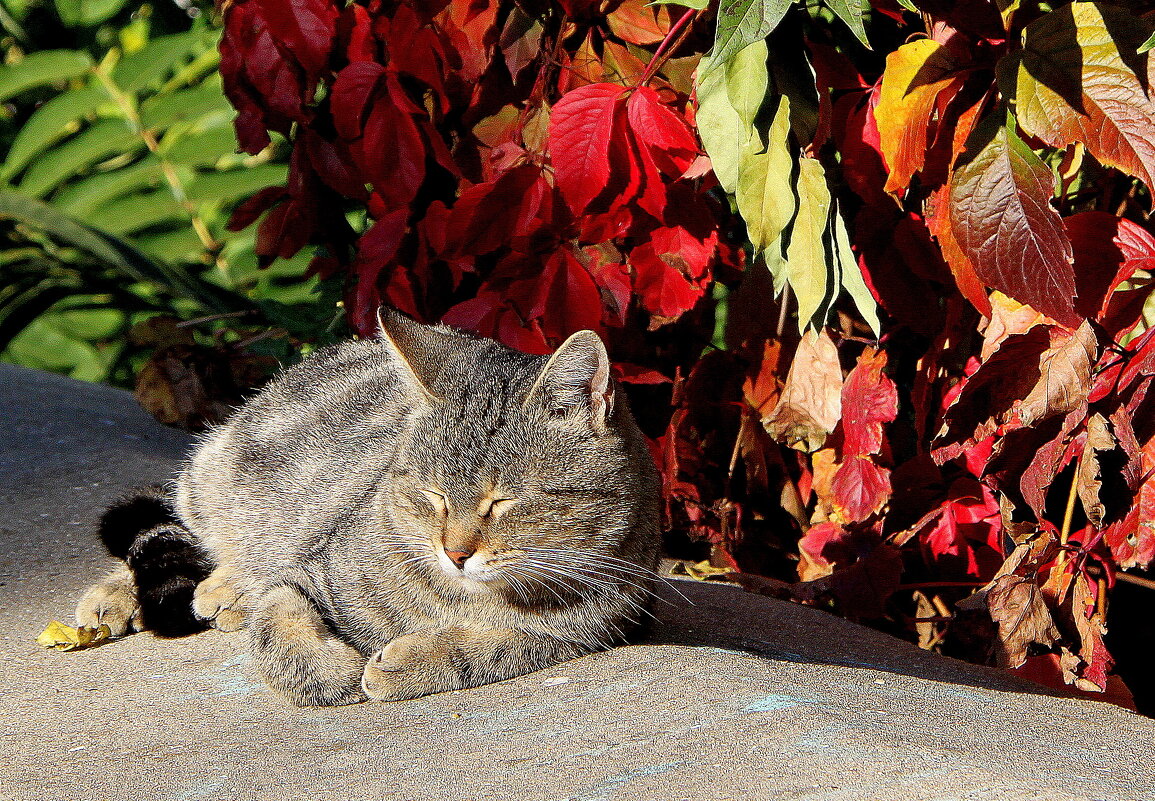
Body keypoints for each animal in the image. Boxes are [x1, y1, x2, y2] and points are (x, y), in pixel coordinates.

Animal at [74, 311, 660, 706]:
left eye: (502, 502)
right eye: (432, 495)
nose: (456, 553)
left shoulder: (596, 628)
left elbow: (502, 645)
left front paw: (417, 660)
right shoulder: (310, 566)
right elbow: (280, 624)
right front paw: (330, 671)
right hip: (214, 479)